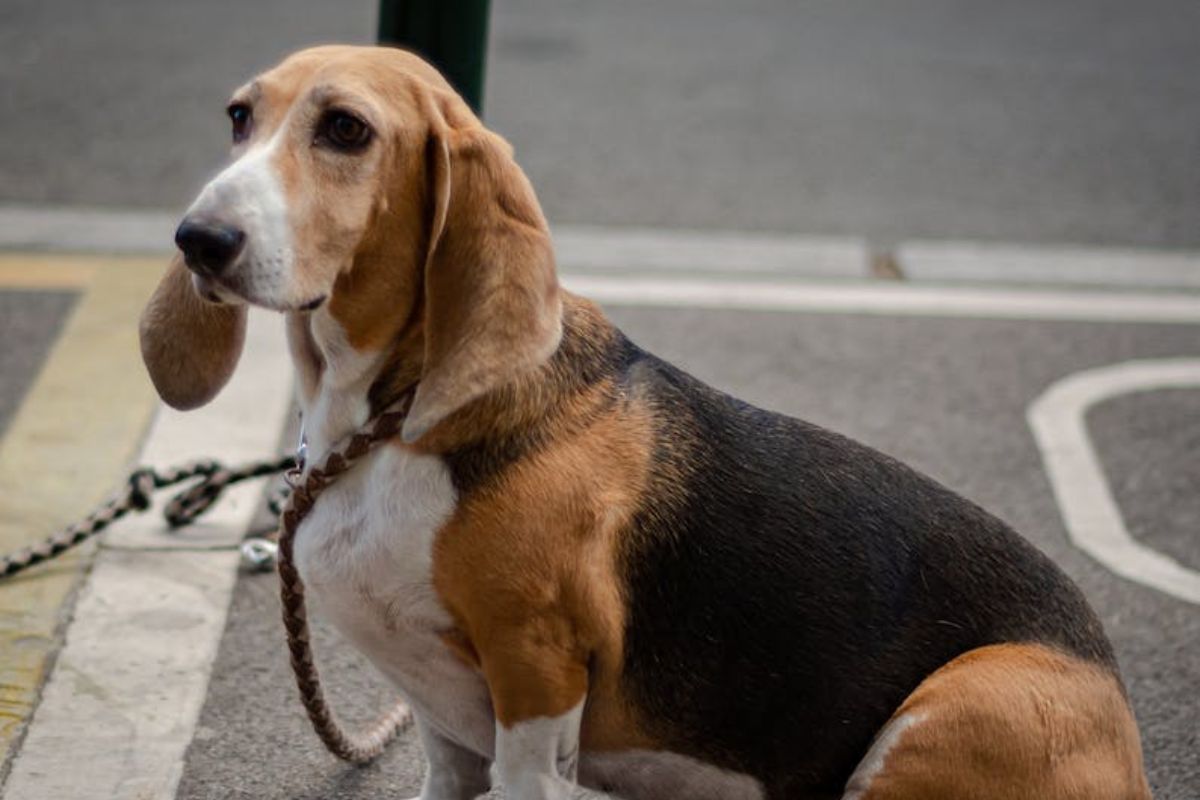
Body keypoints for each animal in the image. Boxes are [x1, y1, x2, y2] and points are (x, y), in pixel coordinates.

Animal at [140, 45, 1152, 800]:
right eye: (239, 116)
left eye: (345, 129)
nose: (198, 239)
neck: (385, 421)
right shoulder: (444, 727)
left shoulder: (537, 678)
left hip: (952, 714)